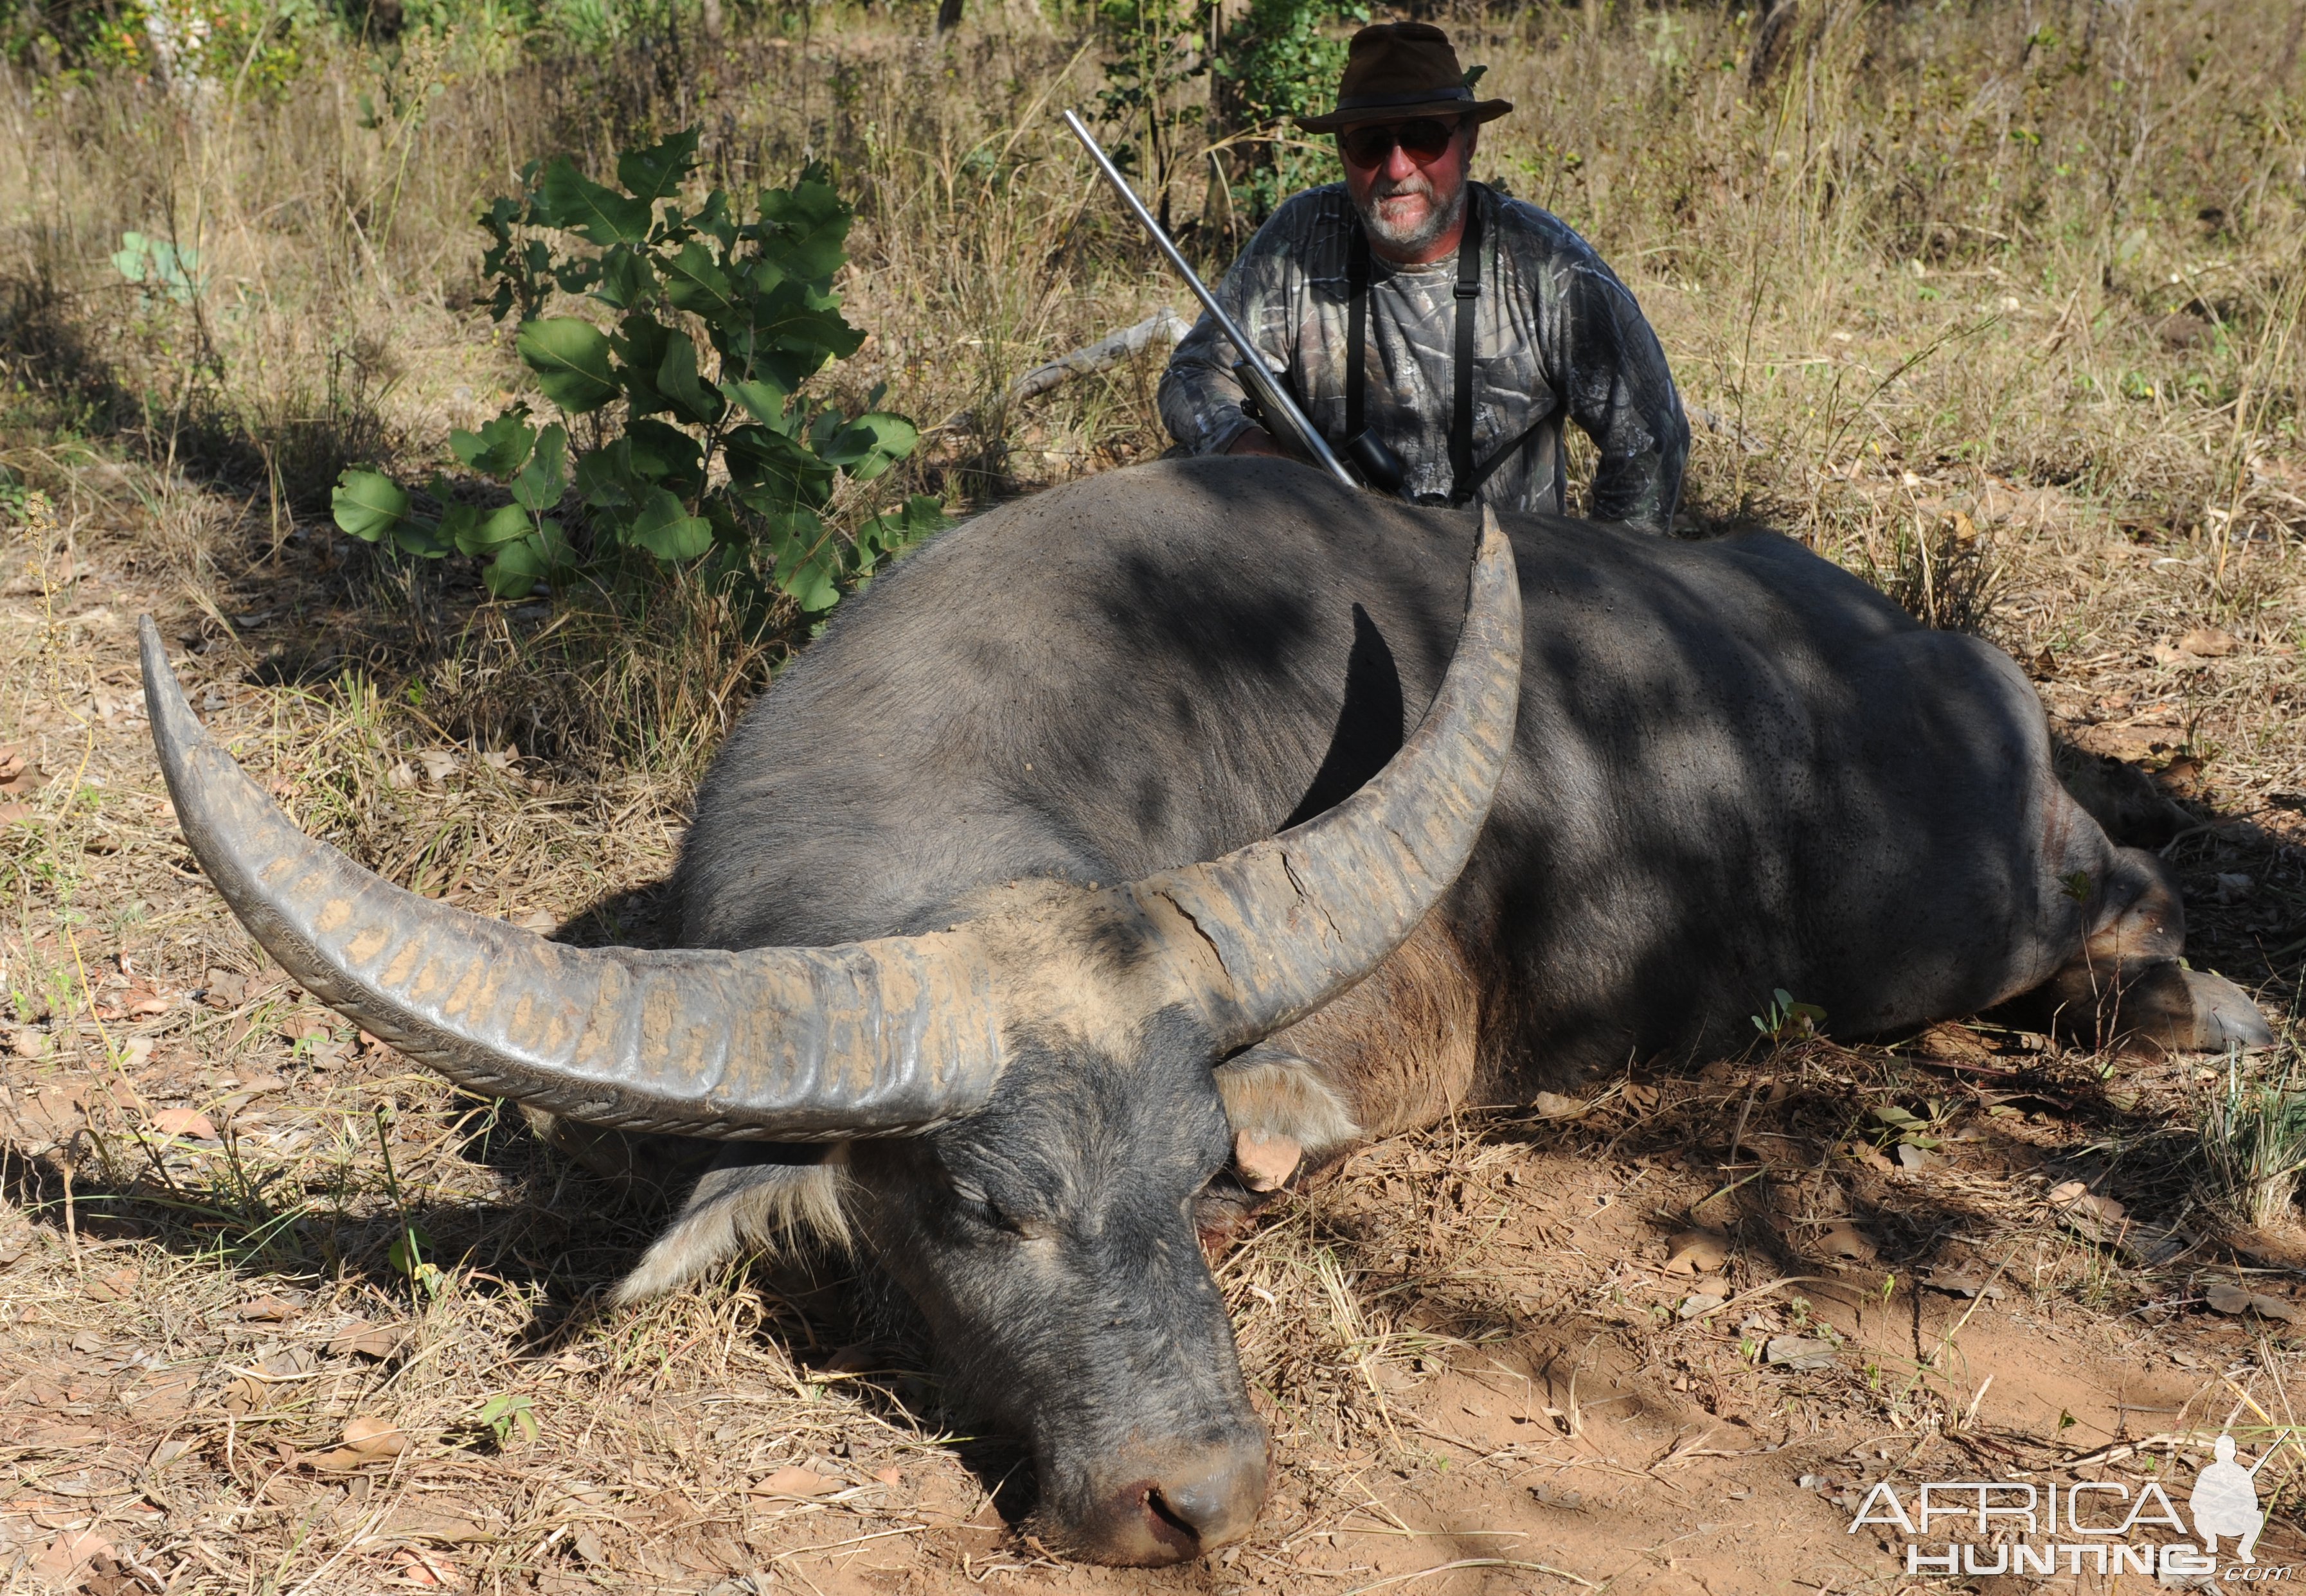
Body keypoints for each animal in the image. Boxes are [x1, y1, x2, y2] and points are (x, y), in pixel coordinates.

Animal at [139, 454, 2269, 1568]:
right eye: (983, 1209)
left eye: (1196, 1181)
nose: (1197, 1500)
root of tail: (1906, 642)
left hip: (1948, 910)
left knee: (2120, 893)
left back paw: (2205, 1000)